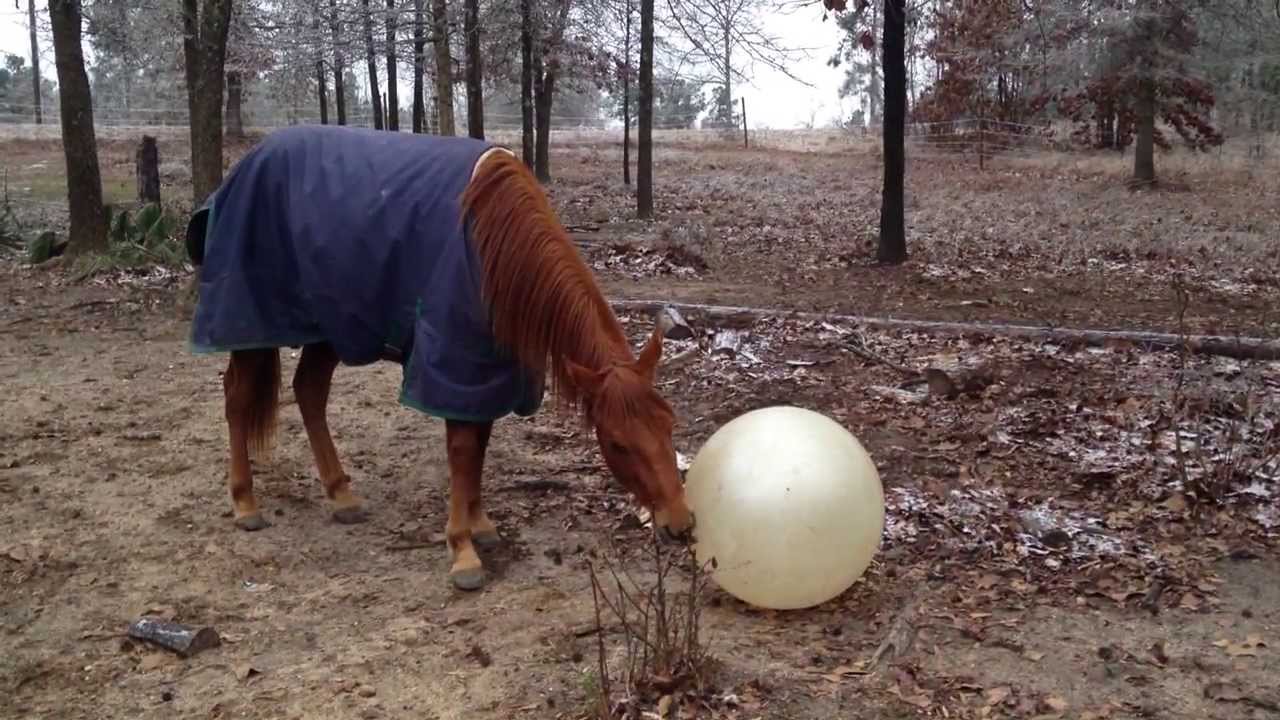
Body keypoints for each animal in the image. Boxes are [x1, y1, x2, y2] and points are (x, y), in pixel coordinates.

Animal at [184, 125, 694, 590]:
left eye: (670, 427)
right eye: (618, 444)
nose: (680, 524)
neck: (494, 241)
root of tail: (247, 164)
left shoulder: (488, 372)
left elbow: (480, 444)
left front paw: (481, 524)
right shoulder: (453, 360)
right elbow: (463, 450)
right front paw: (462, 550)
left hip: (331, 324)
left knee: (309, 392)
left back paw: (341, 495)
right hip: (251, 319)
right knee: (238, 397)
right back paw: (245, 502)